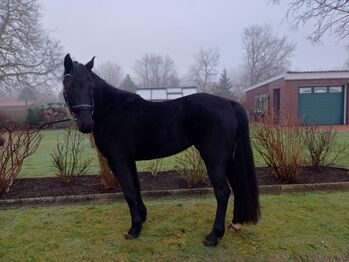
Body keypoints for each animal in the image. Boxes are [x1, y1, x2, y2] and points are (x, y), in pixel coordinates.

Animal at [62, 54, 258, 247]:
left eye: (90, 86)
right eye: (69, 86)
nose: (86, 124)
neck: (112, 110)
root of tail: (228, 103)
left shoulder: (118, 160)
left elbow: (129, 192)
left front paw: (134, 229)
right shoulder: (129, 160)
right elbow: (136, 187)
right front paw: (142, 217)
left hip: (214, 160)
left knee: (223, 192)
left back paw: (214, 236)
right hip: (228, 159)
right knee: (236, 186)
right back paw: (235, 224)